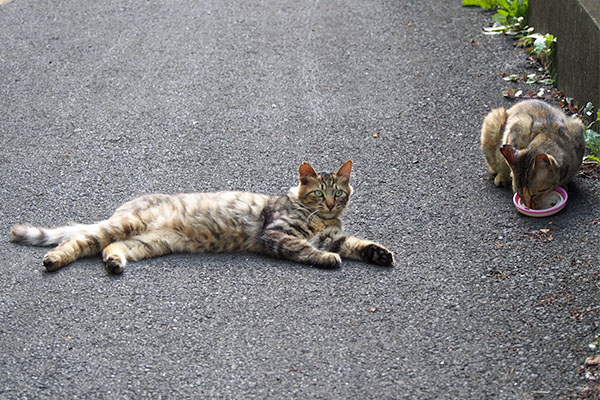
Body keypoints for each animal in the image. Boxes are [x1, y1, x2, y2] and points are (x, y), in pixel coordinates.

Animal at [10, 161, 394, 274]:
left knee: (110, 247)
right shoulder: (277, 233)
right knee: (81, 240)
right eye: (318, 194)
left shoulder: (334, 236)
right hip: (126, 225)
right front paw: (328, 260)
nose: (330, 205)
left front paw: (381, 254)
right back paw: (54, 259)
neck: (322, 221)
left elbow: (357, 243)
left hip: (149, 242)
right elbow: (307, 249)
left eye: (338, 193)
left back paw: (115, 263)